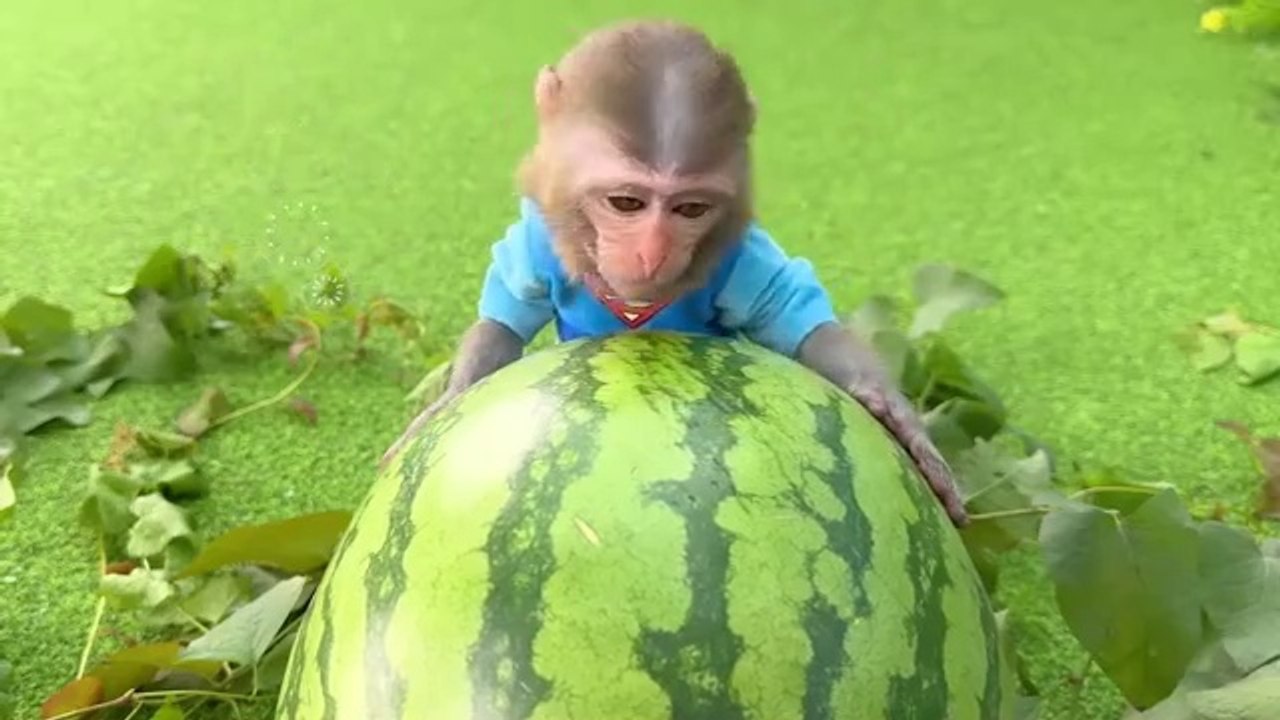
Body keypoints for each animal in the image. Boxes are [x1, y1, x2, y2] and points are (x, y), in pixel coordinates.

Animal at [381, 19, 968, 526]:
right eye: (626, 203)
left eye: (690, 209)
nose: (653, 251)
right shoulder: (536, 240)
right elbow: (506, 312)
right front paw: (448, 398)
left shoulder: (740, 259)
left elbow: (794, 312)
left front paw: (896, 413)